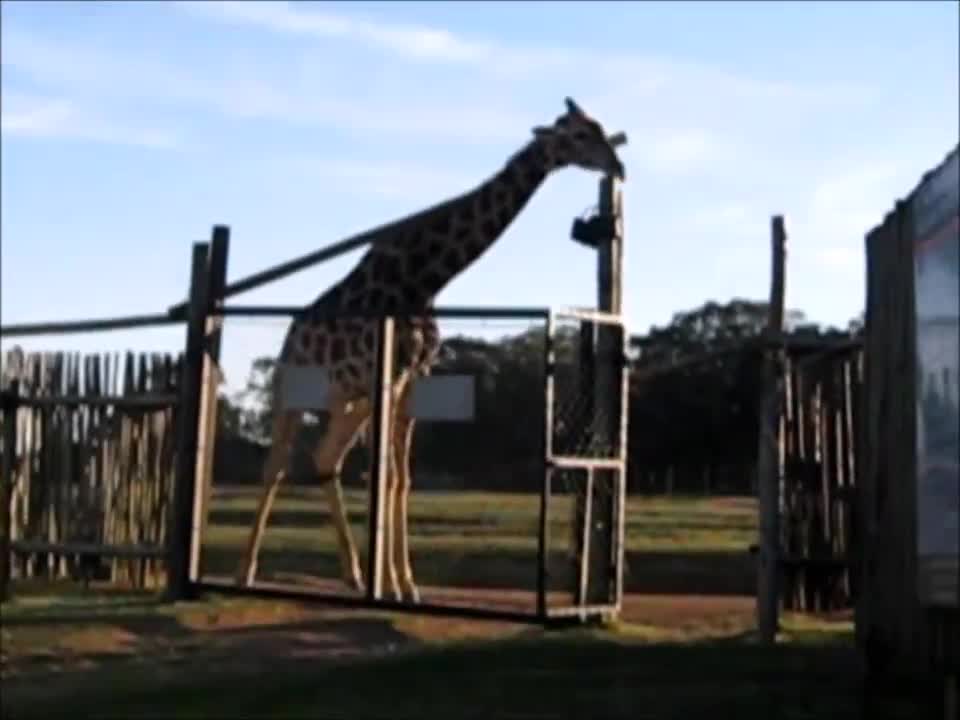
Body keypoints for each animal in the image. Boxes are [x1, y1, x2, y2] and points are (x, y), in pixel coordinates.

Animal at [236, 95, 628, 600]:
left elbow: (401, 479)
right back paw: (245, 572)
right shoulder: (391, 373)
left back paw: (353, 574)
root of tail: (291, 335)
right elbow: (385, 474)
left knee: (325, 457)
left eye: (599, 126)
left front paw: (403, 584)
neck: (427, 279)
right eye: (579, 135)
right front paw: (391, 584)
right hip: (292, 390)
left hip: (348, 398)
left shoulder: (412, 377)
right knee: (276, 465)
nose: (618, 166)